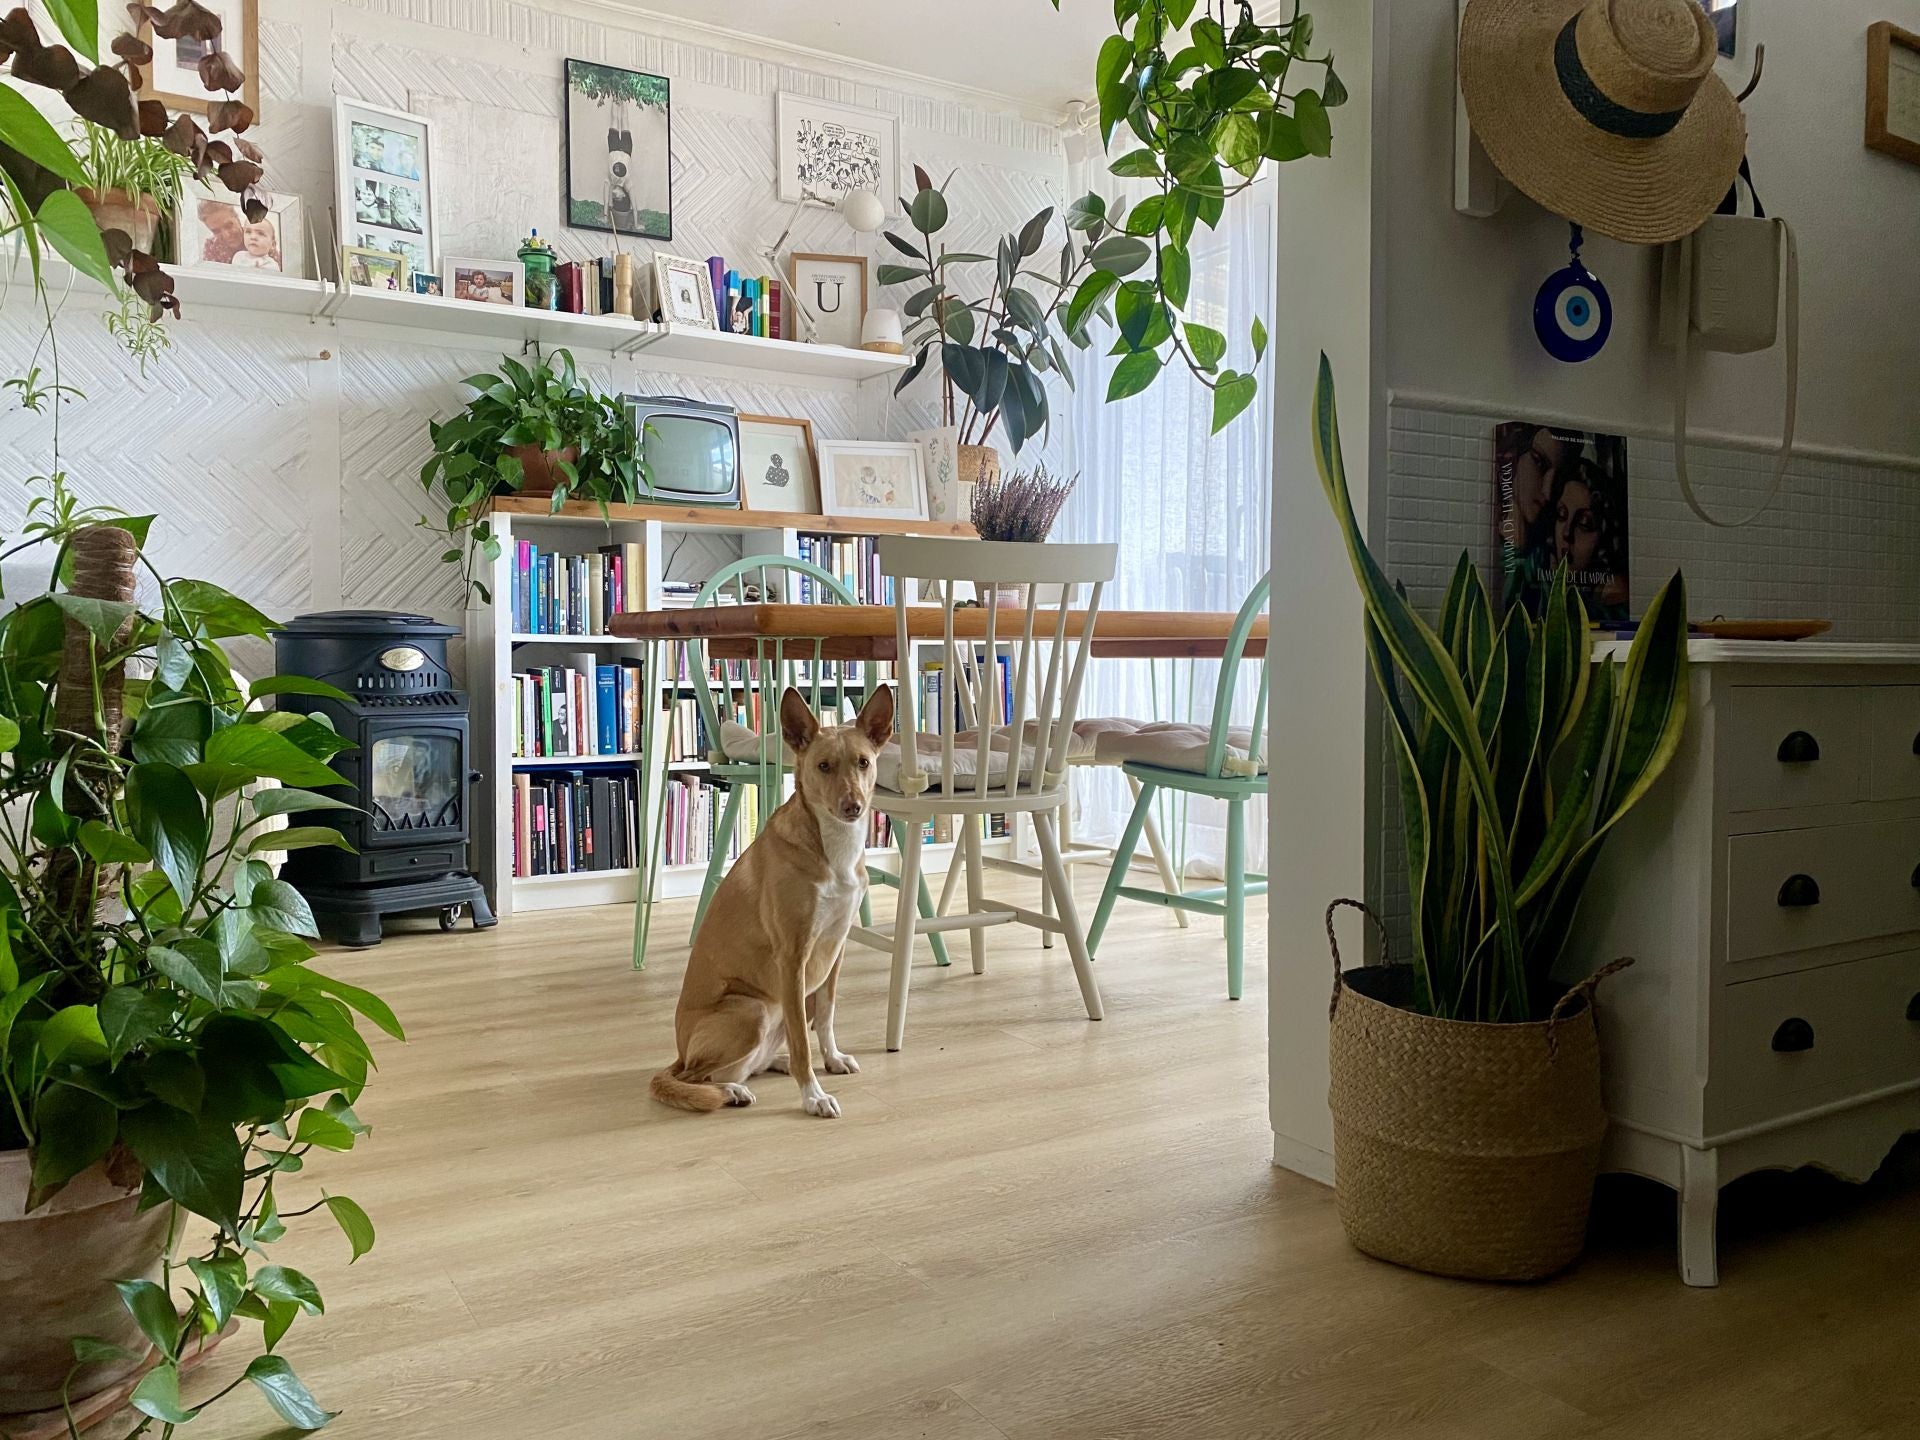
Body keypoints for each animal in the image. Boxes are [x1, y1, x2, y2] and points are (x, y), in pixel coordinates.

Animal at [645, 683, 883, 1121]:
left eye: (863, 762)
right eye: (823, 766)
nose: (853, 806)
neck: (832, 847)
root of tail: (680, 1052)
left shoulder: (837, 948)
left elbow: (826, 1016)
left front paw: (832, 1058)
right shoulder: (793, 957)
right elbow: (804, 1041)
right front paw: (813, 1096)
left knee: (755, 1059)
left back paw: (771, 1065)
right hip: (751, 1009)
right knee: (697, 1077)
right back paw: (732, 1090)